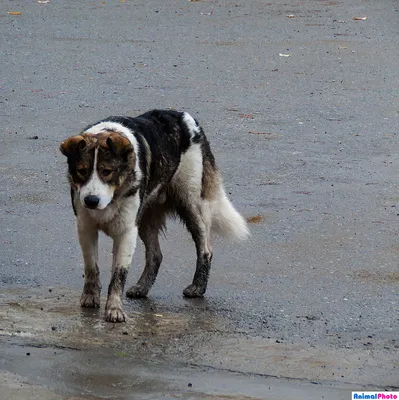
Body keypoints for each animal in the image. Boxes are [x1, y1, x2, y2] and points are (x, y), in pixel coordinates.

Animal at [58, 109, 250, 322]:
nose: (91, 200)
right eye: (81, 171)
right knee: (156, 255)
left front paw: (114, 308)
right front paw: (91, 297)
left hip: (191, 206)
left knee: (205, 249)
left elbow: (118, 275)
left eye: (106, 171)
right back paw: (142, 287)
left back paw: (197, 288)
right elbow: (91, 266)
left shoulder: (126, 232)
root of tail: (183, 116)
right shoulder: (86, 228)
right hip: (146, 218)